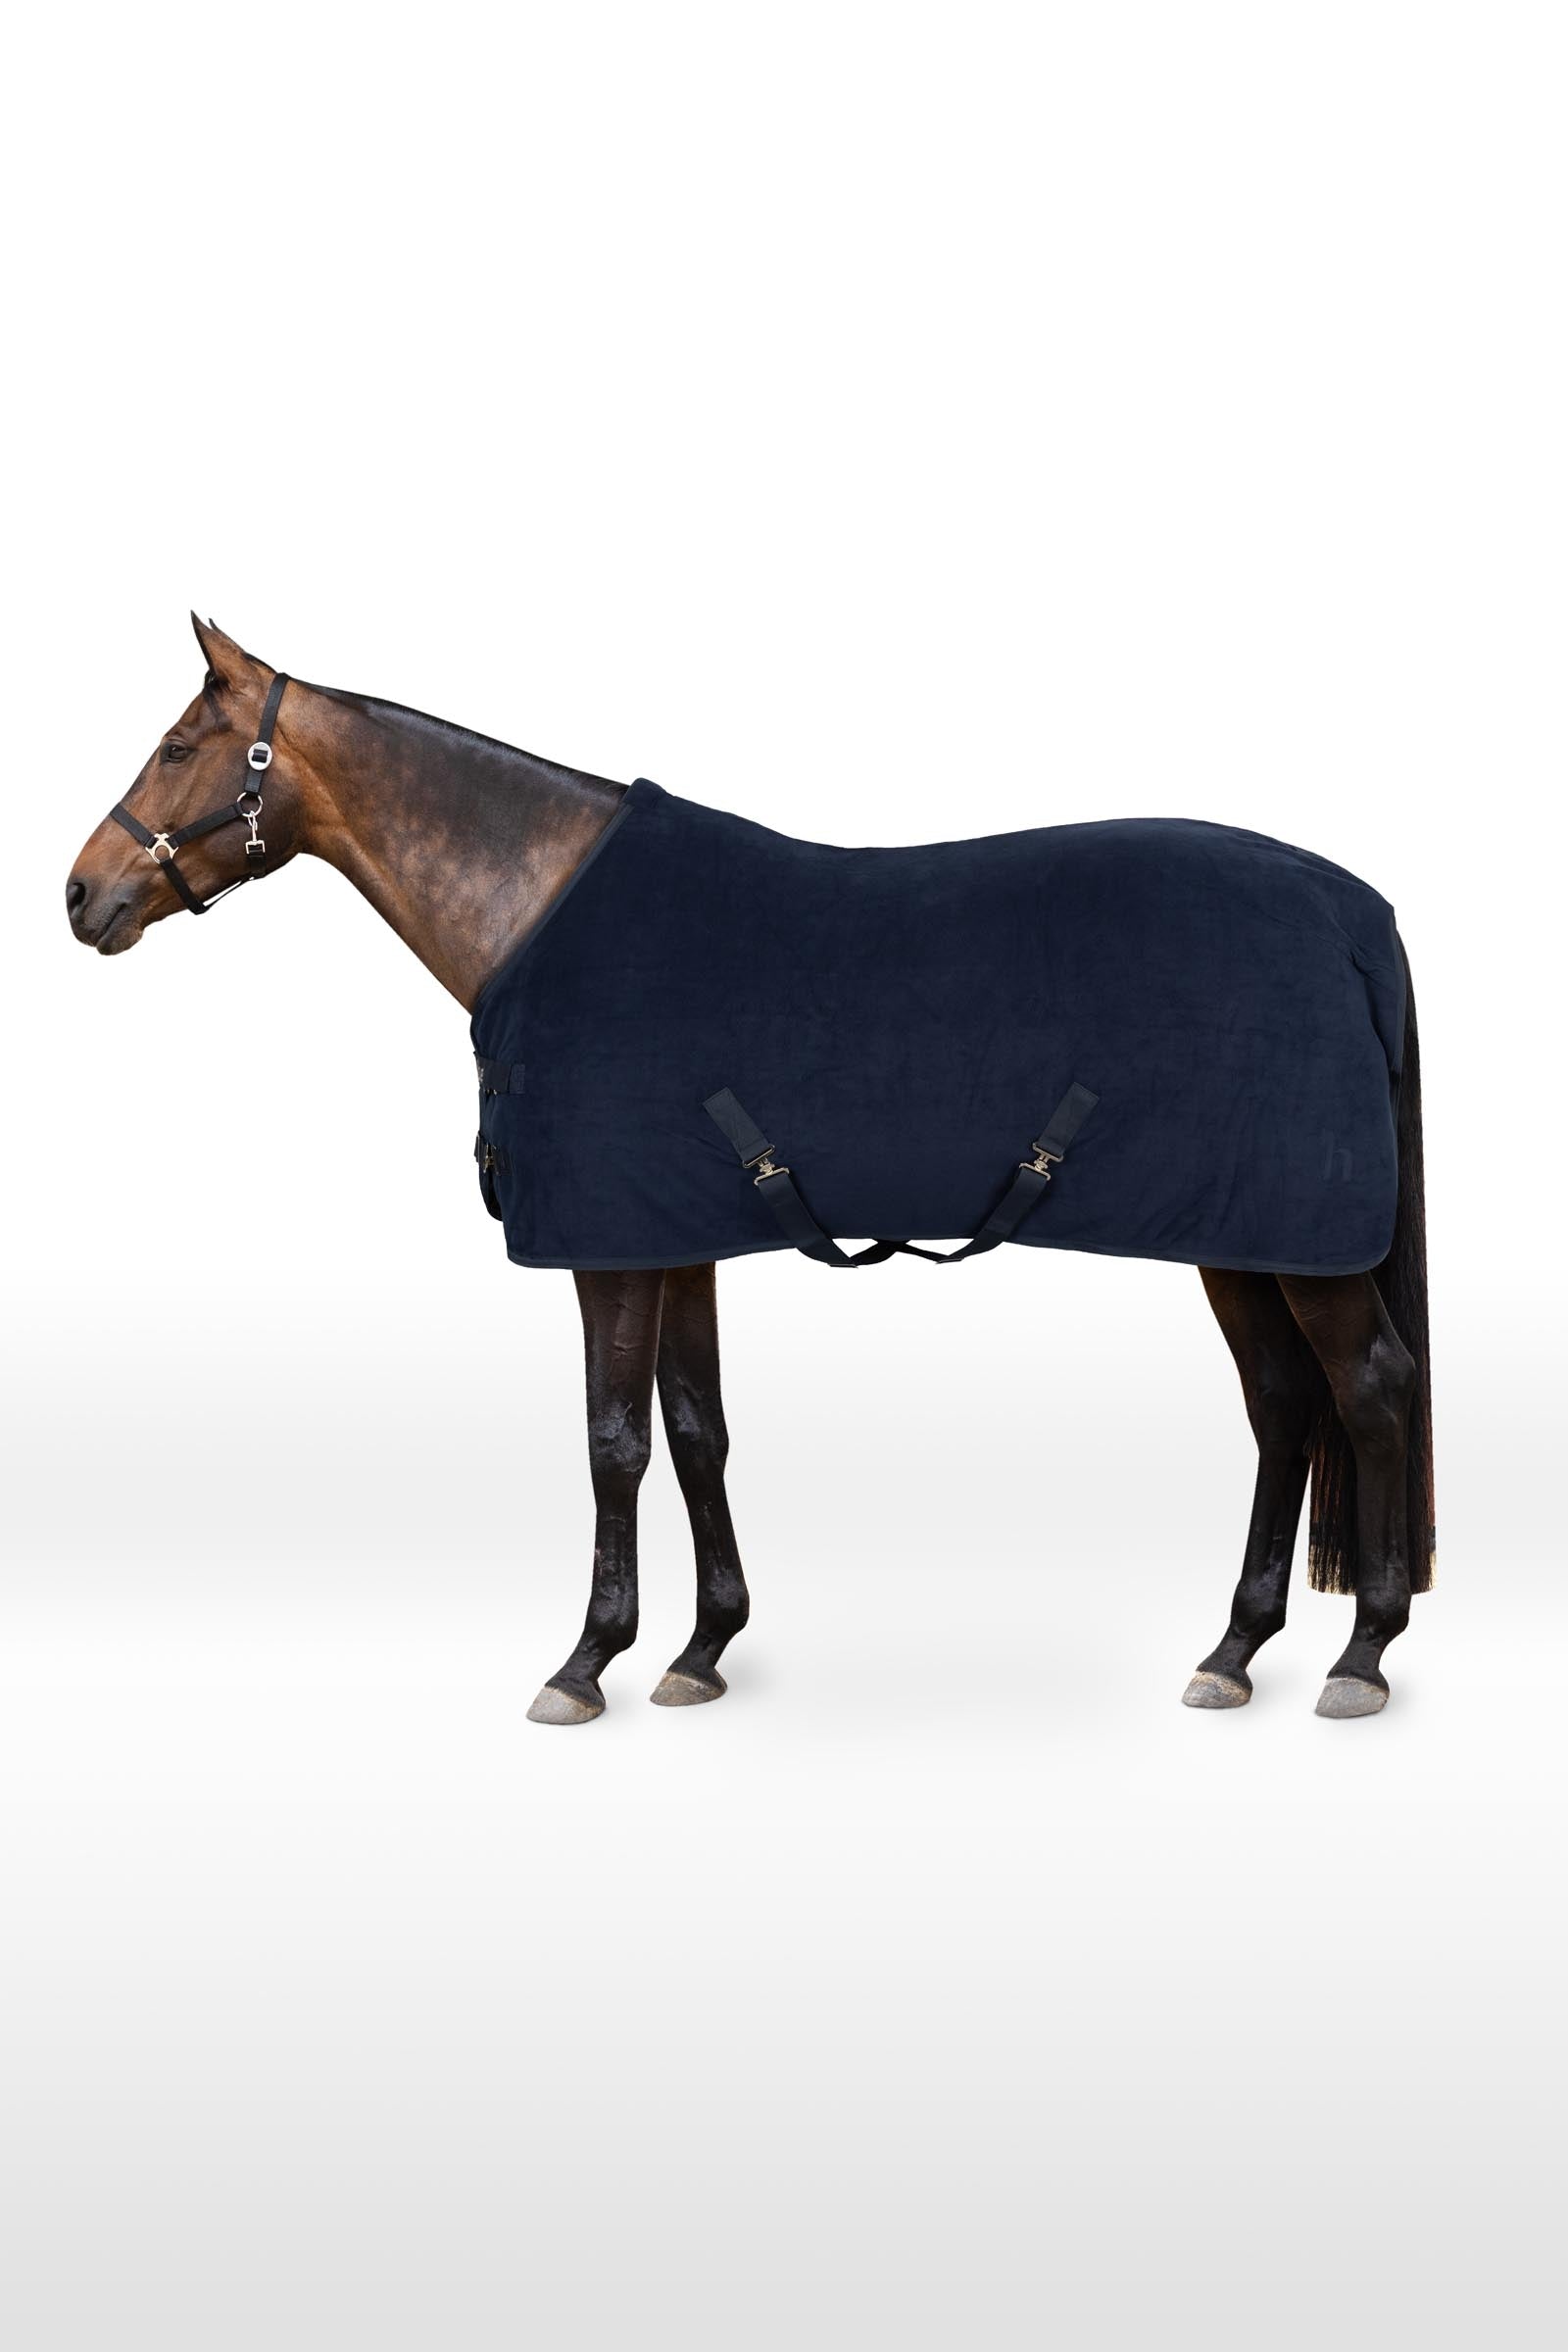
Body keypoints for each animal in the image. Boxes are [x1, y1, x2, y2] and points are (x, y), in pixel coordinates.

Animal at [65, 617, 1434, 1725]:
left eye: (180, 747)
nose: (80, 895)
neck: (541, 906)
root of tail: (1350, 912)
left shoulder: (607, 1251)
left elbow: (613, 1440)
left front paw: (586, 1663)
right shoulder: (673, 1237)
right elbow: (696, 1429)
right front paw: (701, 1649)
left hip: (1299, 1247)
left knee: (1368, 1390)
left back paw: (1361, 1655)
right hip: (1240, 1239)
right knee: (1283, 1404)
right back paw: (1235, 1650)